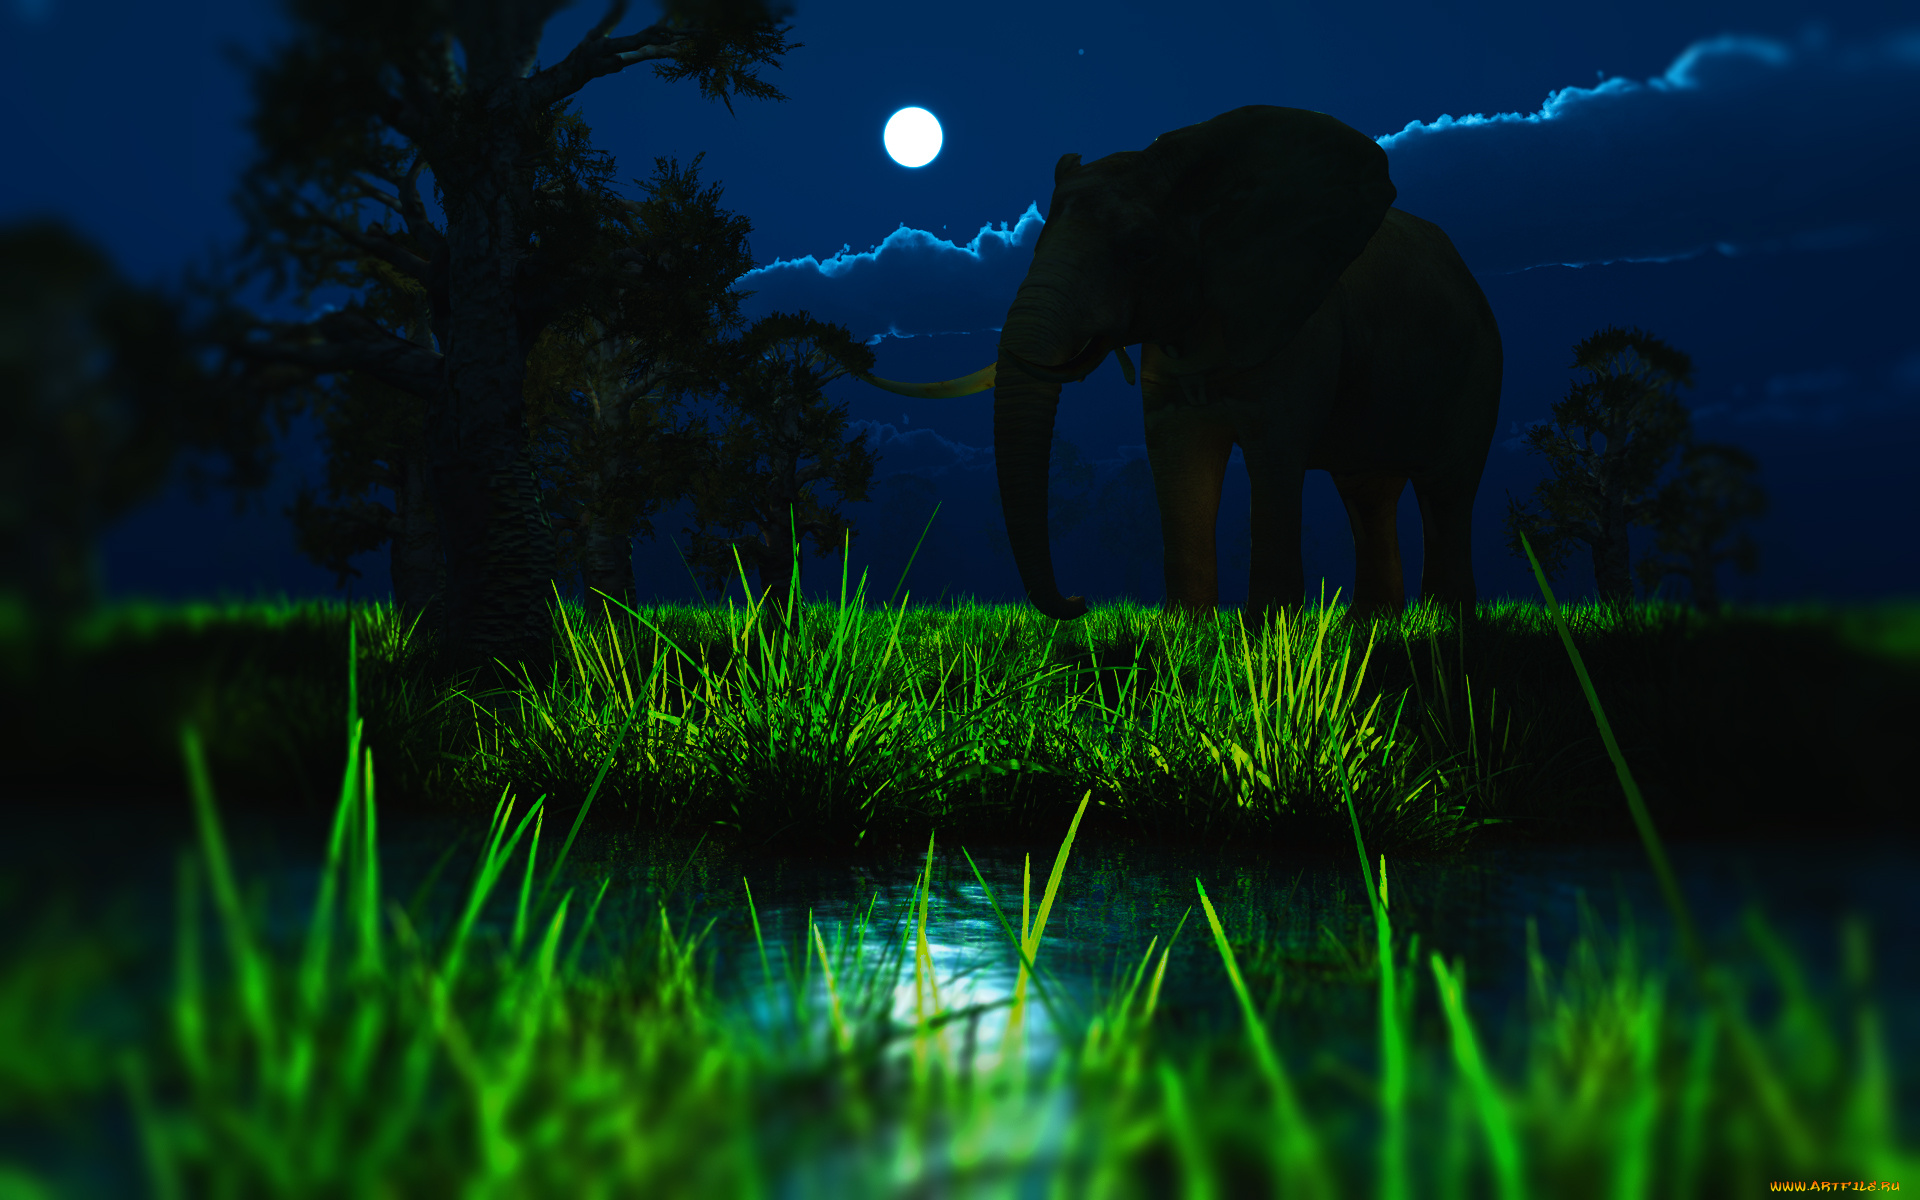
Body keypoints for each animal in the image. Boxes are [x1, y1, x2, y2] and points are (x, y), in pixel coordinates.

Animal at [857, 104, 1503, 626]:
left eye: (1142, 250)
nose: (1080, 603)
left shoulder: (1298, 325)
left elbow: (1275, 454)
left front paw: (1265, 633)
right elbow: (1176, 457)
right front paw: (1187, 629)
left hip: (1479, 362)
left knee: (1447, 487)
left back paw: (1446, 623)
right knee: (1367, 491)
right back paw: (1371, 626)